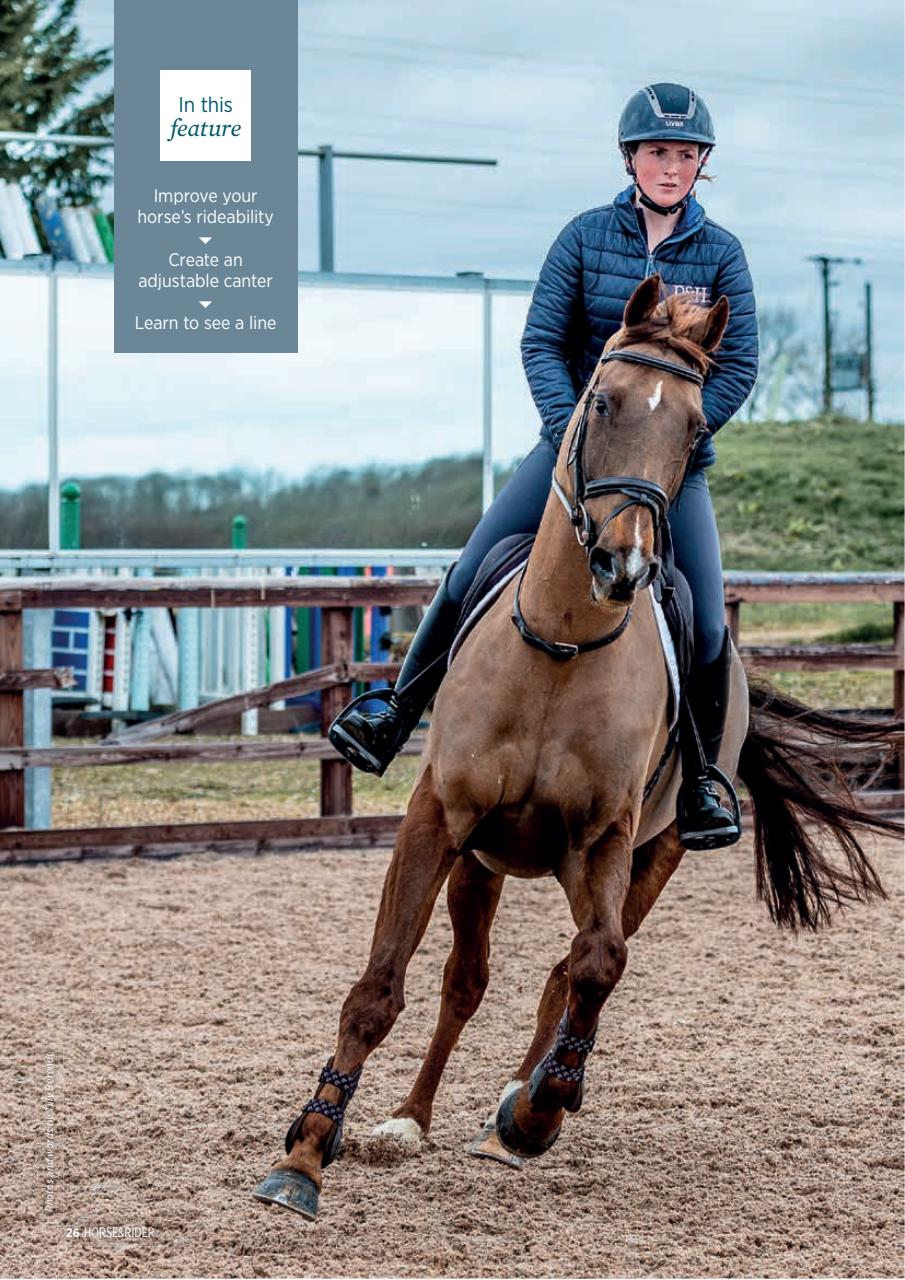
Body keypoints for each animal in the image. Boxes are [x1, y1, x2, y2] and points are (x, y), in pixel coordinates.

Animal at [252, 275, 900, 1219]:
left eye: (695, 428)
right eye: (601, 400)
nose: (621, 565)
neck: (561, 645)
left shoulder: (604, 842)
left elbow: (594, 967)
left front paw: (537, 1114)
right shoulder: (437, 819)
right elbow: (380, 987)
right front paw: (304, 1154)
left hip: (646, 856)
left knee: (562, 975)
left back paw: (512, 1115)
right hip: (481, 861)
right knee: (465, 982)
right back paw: (409, 1119)